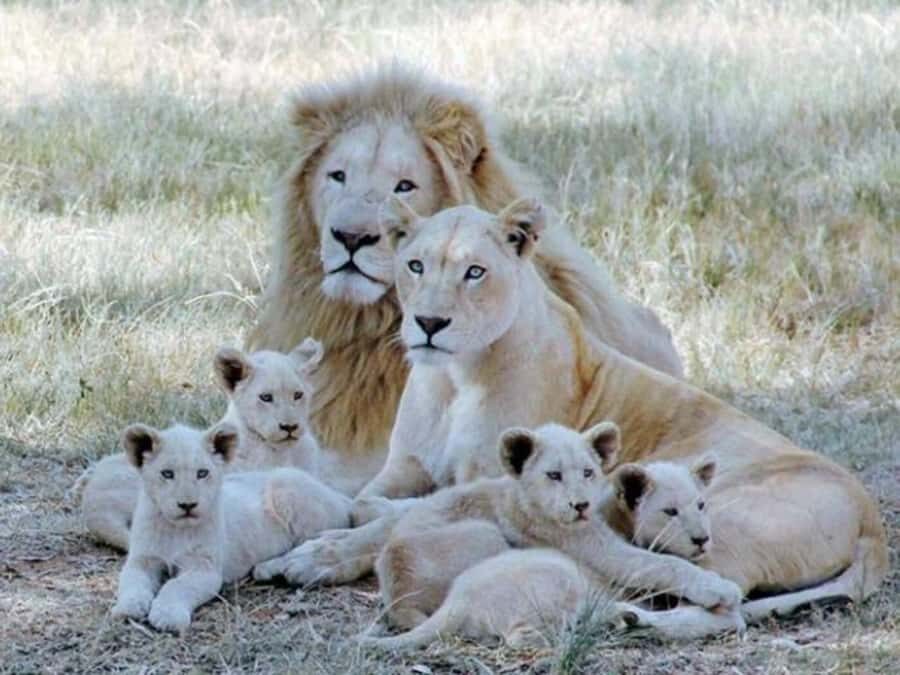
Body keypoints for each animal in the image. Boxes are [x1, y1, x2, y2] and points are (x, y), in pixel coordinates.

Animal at [111, 421, 350, 633]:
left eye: (202, 473)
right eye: (167, 473)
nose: (187, 505)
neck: (175, 530)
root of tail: (338, 495)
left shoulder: (205, 569)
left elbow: (176, 587)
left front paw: (167, 616)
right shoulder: (142, 560)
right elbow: (131, 581)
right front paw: (127, 608)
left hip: (286, 482)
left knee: (310, 543)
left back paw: (268, 568)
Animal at [254, 199, 888, 627]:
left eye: (474, 272)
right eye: (414, 265)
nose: (430, 324)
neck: (454, 377)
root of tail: (872, 519)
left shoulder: (500, 485)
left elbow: (384, 524)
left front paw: (315, 557)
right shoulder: (400, 469)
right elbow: (365, 503)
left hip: (711, 526)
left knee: (714, 600)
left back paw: (631, 619)